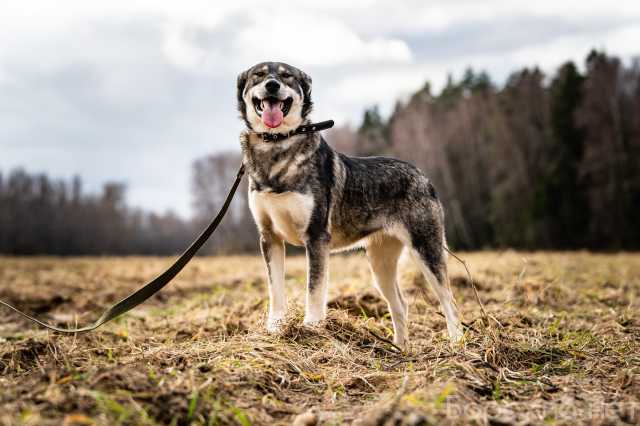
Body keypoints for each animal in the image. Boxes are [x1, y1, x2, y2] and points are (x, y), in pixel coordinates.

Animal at [238, 60, 462, 346]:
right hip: (380, 264)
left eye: (287, 76)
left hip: (426, 250)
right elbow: (275, 289)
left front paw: (312, 328)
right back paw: (401, 349)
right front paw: (276, 329)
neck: (277, 147)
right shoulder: (269, 238)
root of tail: (422, 175)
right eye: (259, 75)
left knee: (449, 300)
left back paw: (457, 344)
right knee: (400, 305)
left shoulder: (316, 237)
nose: (272, 85)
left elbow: (314, 288)